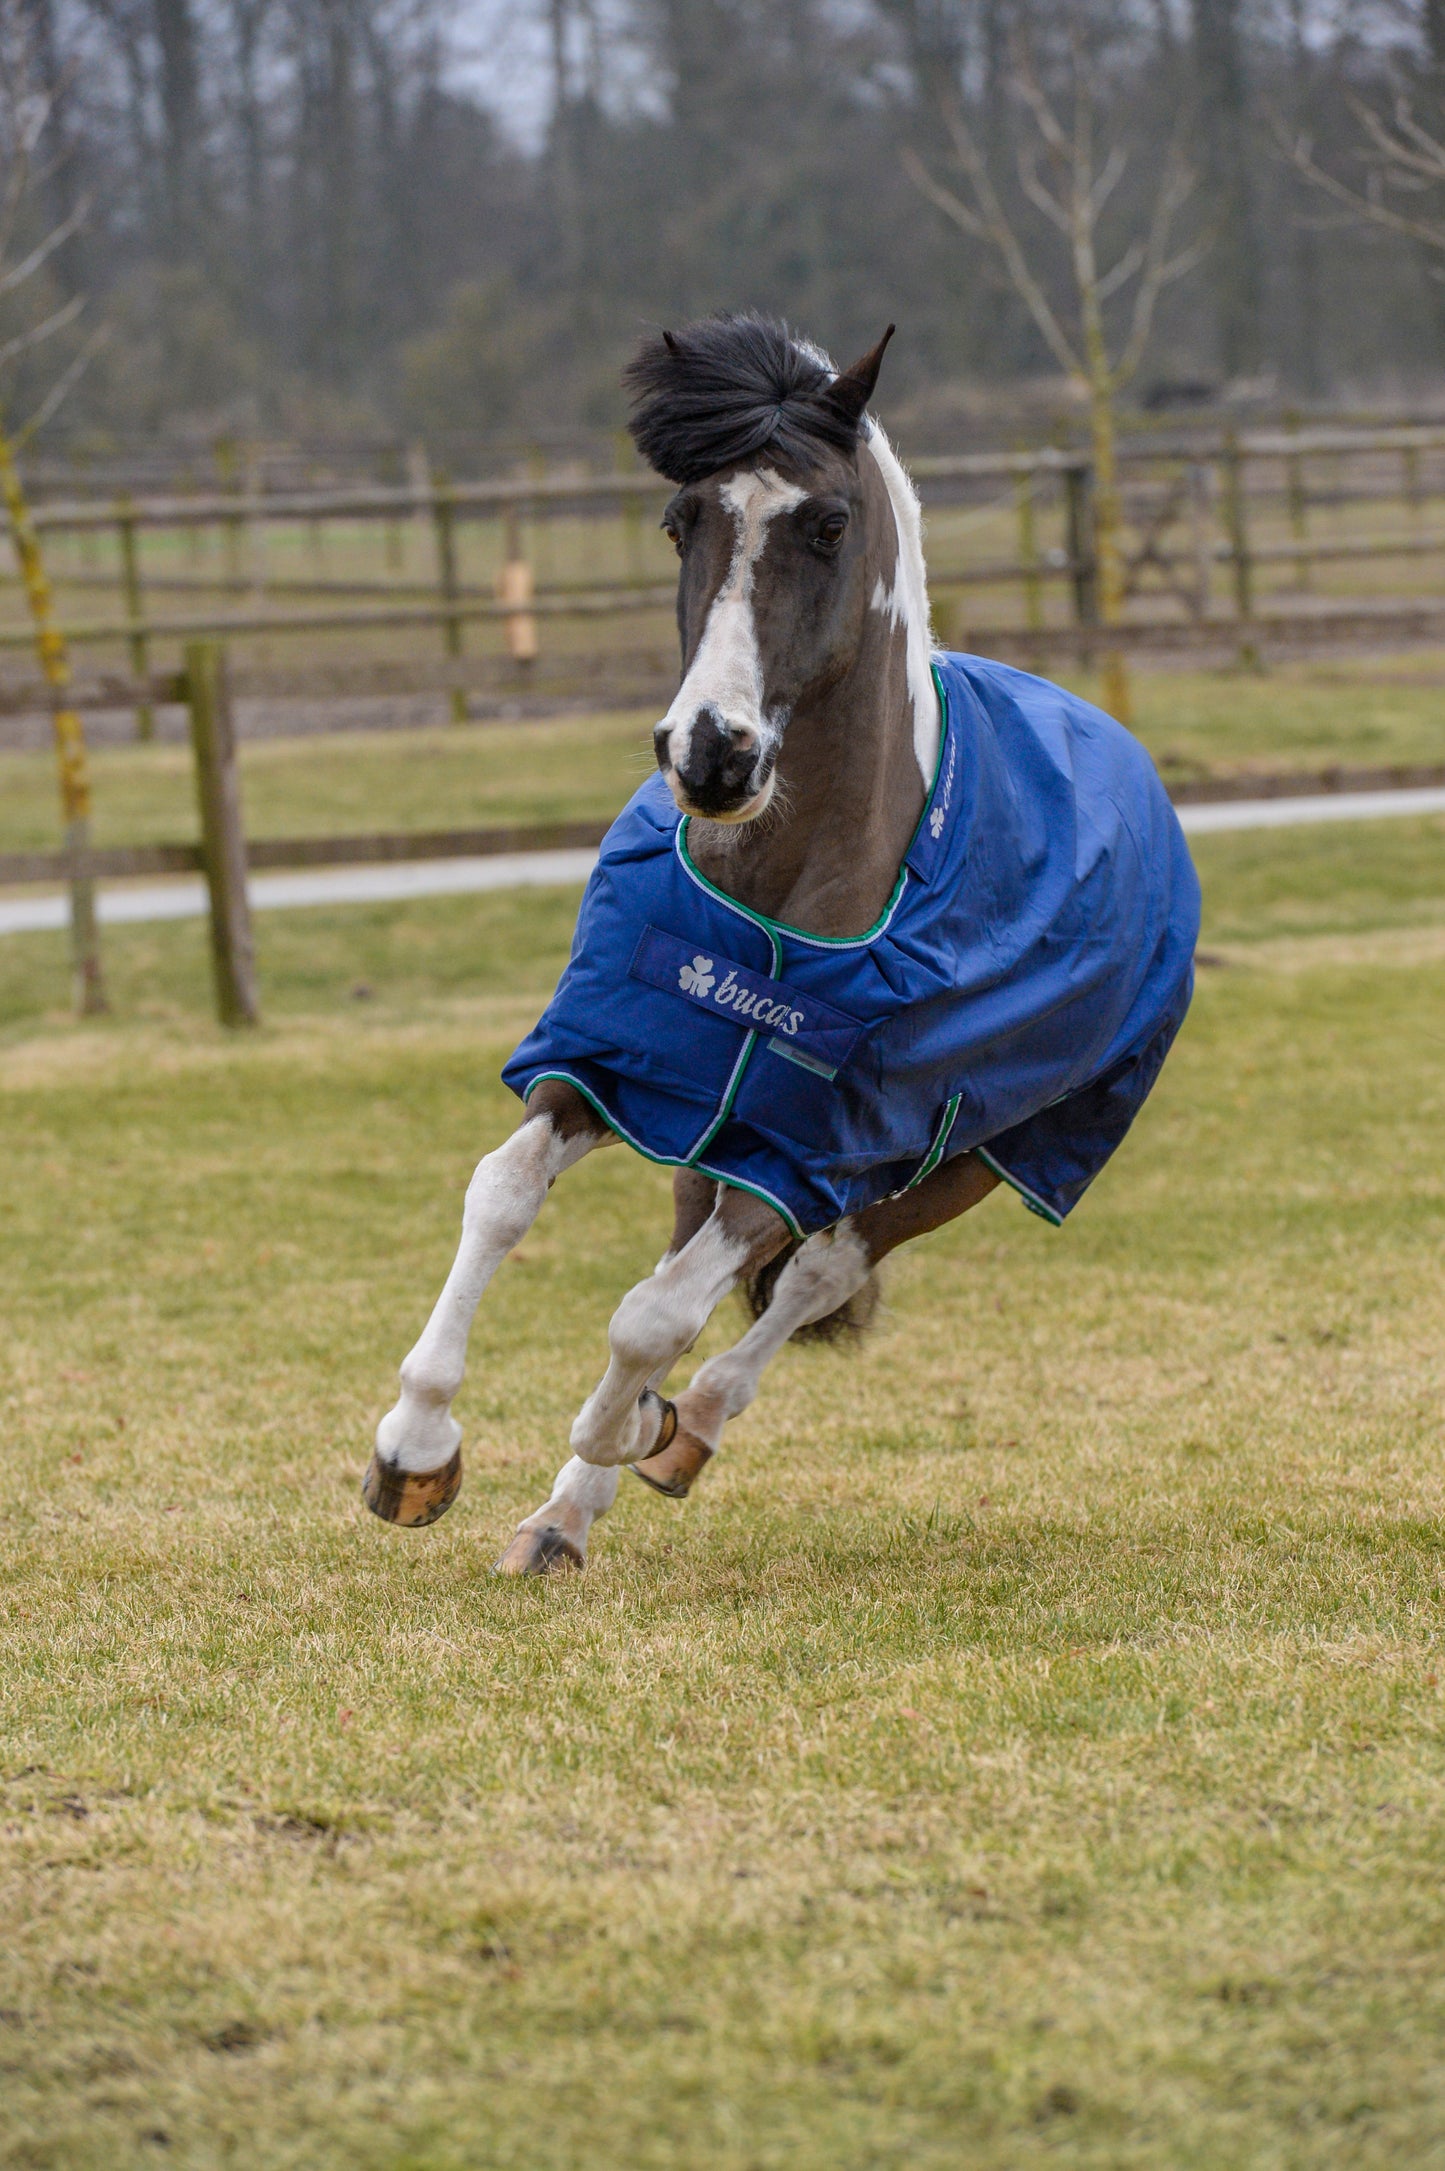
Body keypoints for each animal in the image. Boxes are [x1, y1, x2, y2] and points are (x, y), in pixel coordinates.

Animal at [362, 314, 1201, 1574]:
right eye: (680, 520)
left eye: (827, 523)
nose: (711, 751)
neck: (777, 907)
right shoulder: (615, 1068)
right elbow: (502, 1194)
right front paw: (415, 1448)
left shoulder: (801, 1150)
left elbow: (655, 1310)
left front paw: (629, 1421)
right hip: (717, 1133)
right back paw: (561, 1518)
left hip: (984, 1152)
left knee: (811, 1273)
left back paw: (680, 1428)